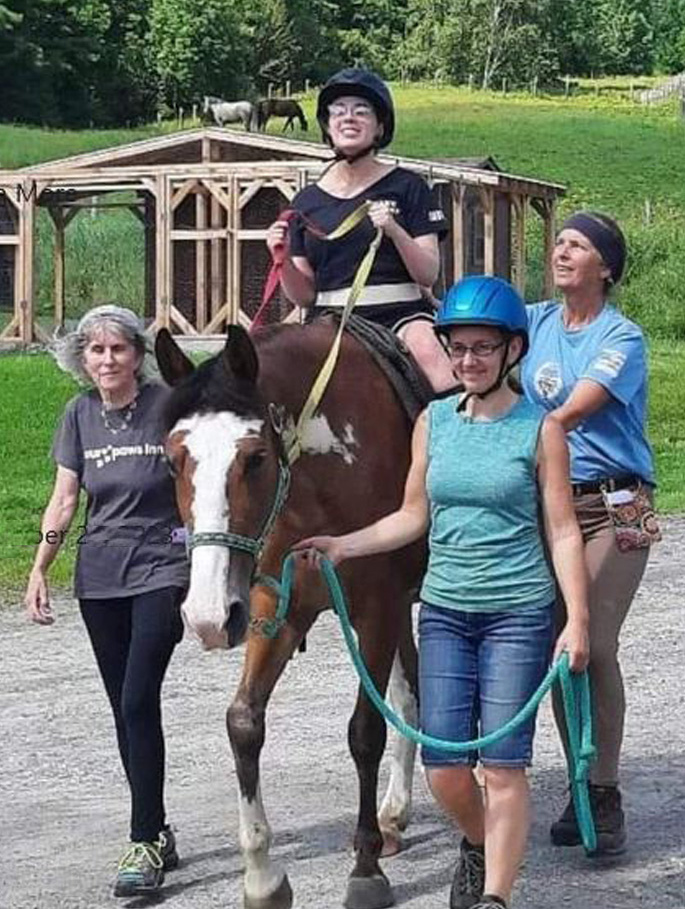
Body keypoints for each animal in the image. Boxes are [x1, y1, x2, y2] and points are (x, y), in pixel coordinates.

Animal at [157, 322, 428, 908]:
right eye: (173, 460)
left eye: (256, 457)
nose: (207, 615)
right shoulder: (273, 610)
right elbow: (243, 722)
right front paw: (261, 875)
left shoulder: (375, 608)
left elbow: (365, 731)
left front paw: (366, 866)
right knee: (410, 691)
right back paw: (395, 812)